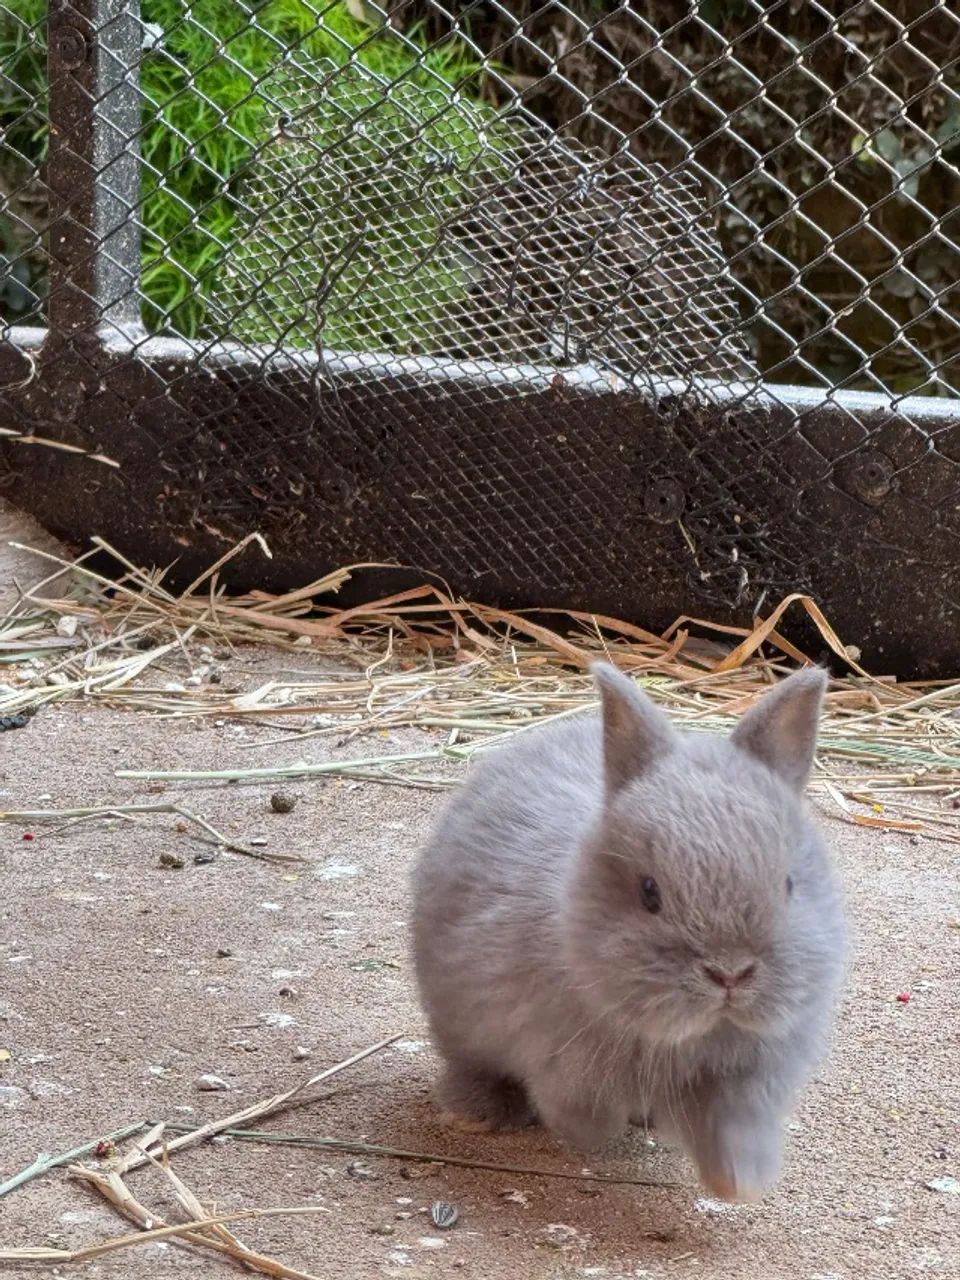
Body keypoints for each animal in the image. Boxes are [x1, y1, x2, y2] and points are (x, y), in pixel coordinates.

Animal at [411, 662, 846, 1203]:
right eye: (649, 892)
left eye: (789, 885)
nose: (729, 973)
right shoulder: (564, 1058)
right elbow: (580, 1112)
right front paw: (587, 1137)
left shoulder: (746, 1080)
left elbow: (735, 1132)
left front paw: (738, 1185)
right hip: (456, 1021)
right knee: (468, 1065)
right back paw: (480, 1117)